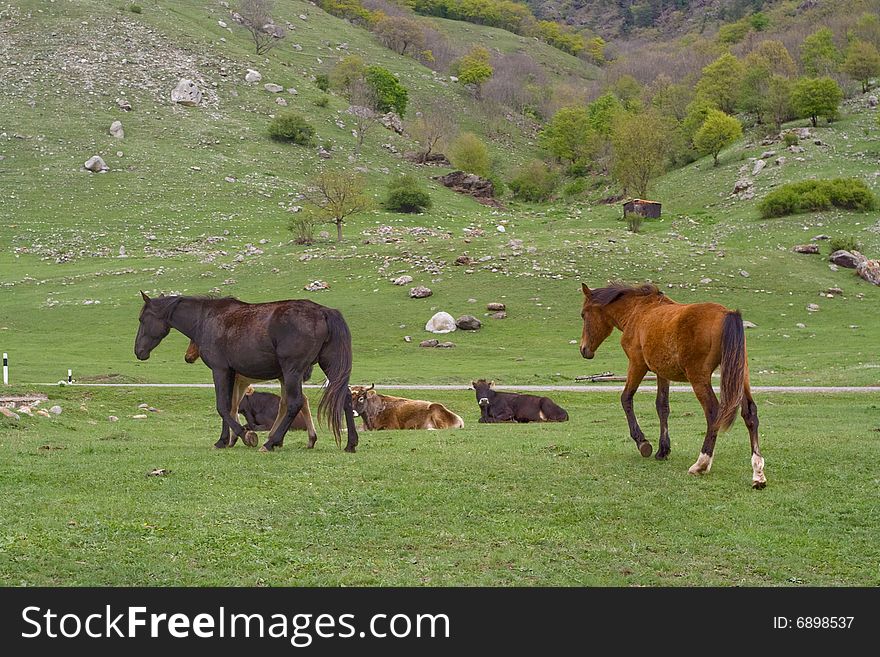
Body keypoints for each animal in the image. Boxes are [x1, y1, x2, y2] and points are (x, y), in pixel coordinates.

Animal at [134, 294, 358, 452]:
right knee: (345, 398)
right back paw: (350, 443)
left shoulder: (220, 370)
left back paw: (271, 443)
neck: (206, 319)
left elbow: (222, 407)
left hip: (292, 371)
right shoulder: (233, 375)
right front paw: (223, 440)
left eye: (143, 319)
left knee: (295, 403)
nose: (138, 351)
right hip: (328, 367)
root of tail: (324, 312)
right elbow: (230, 406)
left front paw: (245, 435)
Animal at [576, 282, 764, 486]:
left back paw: (701, 464)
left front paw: (643, 443)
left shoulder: (637, 364)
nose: (584, 349)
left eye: (583, 314)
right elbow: (662, 406)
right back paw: (758, 473)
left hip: (699, 379)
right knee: (750, 414)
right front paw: (663, 450)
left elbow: (626, 398)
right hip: (740, 376)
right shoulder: (662, 373)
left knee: (714, 413)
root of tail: (727, 314)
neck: (637, 311)